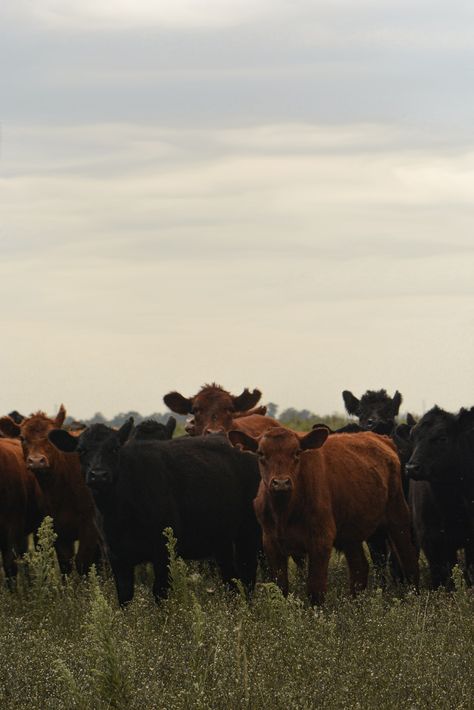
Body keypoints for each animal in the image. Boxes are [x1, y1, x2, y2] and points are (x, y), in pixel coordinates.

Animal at [48, 422, 262, 608]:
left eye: (115, 449)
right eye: (81, 450)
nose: (99, 475)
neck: (119, 512)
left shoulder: (162, 551)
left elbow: (160, 593)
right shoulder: (116, 555)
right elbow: (124, 597)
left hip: (248, 533)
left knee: (248, 575)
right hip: (222, 540)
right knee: (231, 579)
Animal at [230, 428, 418, 608]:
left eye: (297, 452)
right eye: (261, 453)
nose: (281, 483)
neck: (284, 512)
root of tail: (381, 438)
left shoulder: (321, 540)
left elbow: (315, 588)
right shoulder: (271, 543)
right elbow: (281, 588)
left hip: (398, 517)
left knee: (408, 561)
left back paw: (413, 597)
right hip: (350, 533)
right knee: (360, 567)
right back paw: (356, 606)